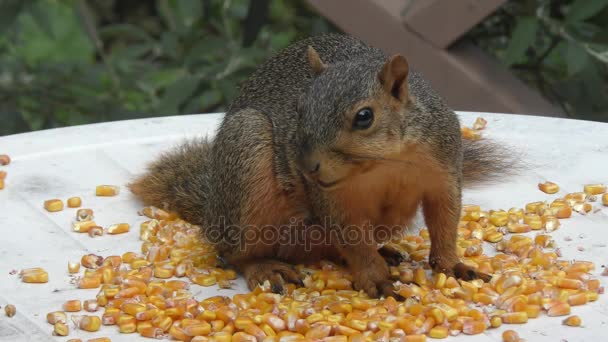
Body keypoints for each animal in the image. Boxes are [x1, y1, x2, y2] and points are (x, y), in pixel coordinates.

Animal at [129, 33, 508, 298]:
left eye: (364, 117)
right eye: (298, 110)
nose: (305, 165)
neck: (384, 165)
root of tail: (211, 212)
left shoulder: (443, 168)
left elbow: (445, 221)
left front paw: (452, 265)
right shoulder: (333, 199)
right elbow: (352, 237)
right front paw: (376, 278)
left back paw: (383, 251)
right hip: (246, 156)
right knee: (235, 253)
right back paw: (265, 267)